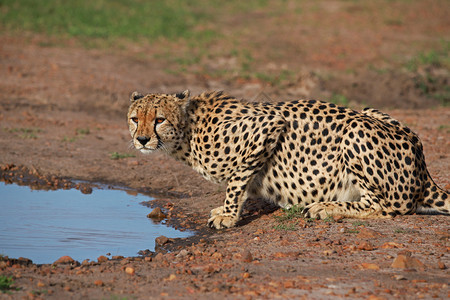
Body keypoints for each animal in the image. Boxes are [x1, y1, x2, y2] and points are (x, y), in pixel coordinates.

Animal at [127, 90, 450, 229]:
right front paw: (227, 209)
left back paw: (326, 207)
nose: (141, 140)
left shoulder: (268, 124)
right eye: (134, 119)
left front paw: (228, 215)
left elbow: (237, 180)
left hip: (356, 129)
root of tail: (423, 167)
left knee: (391, 208)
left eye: (158, 119)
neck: (188, 130)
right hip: (370, 111)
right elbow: (242, 183)